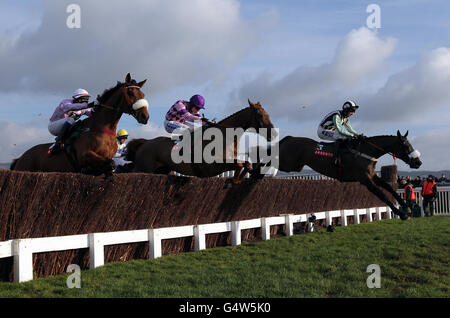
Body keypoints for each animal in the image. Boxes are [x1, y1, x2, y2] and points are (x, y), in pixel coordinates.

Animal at [10, 74, 149, 179]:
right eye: (130, 92)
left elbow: (110, 166)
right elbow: (111, 163)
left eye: (143, 95)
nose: (145, 116)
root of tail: (20, 157)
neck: (101, 130)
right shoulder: (84, 155)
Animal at [125, 99, 276, 184]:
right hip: (143, 168)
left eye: (268, 114)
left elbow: (246, 164)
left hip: (163, 170)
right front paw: (236, 178)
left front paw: (238, 179)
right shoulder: (212, 166)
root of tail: (145, 143)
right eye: (260, 115)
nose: (274, 134)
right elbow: (239, 164)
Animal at [250, 130, 422, 220]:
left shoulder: (372, 176)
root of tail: (289, 138)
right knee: (267, 159)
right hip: (287, 163)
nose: (418, 162)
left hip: (295, 165)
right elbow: (382, 194)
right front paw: (401, 213)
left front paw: (406, 207)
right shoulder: (364, 179)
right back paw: (253, 170)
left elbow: (389, 188)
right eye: (406, 146)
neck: (367, 151)